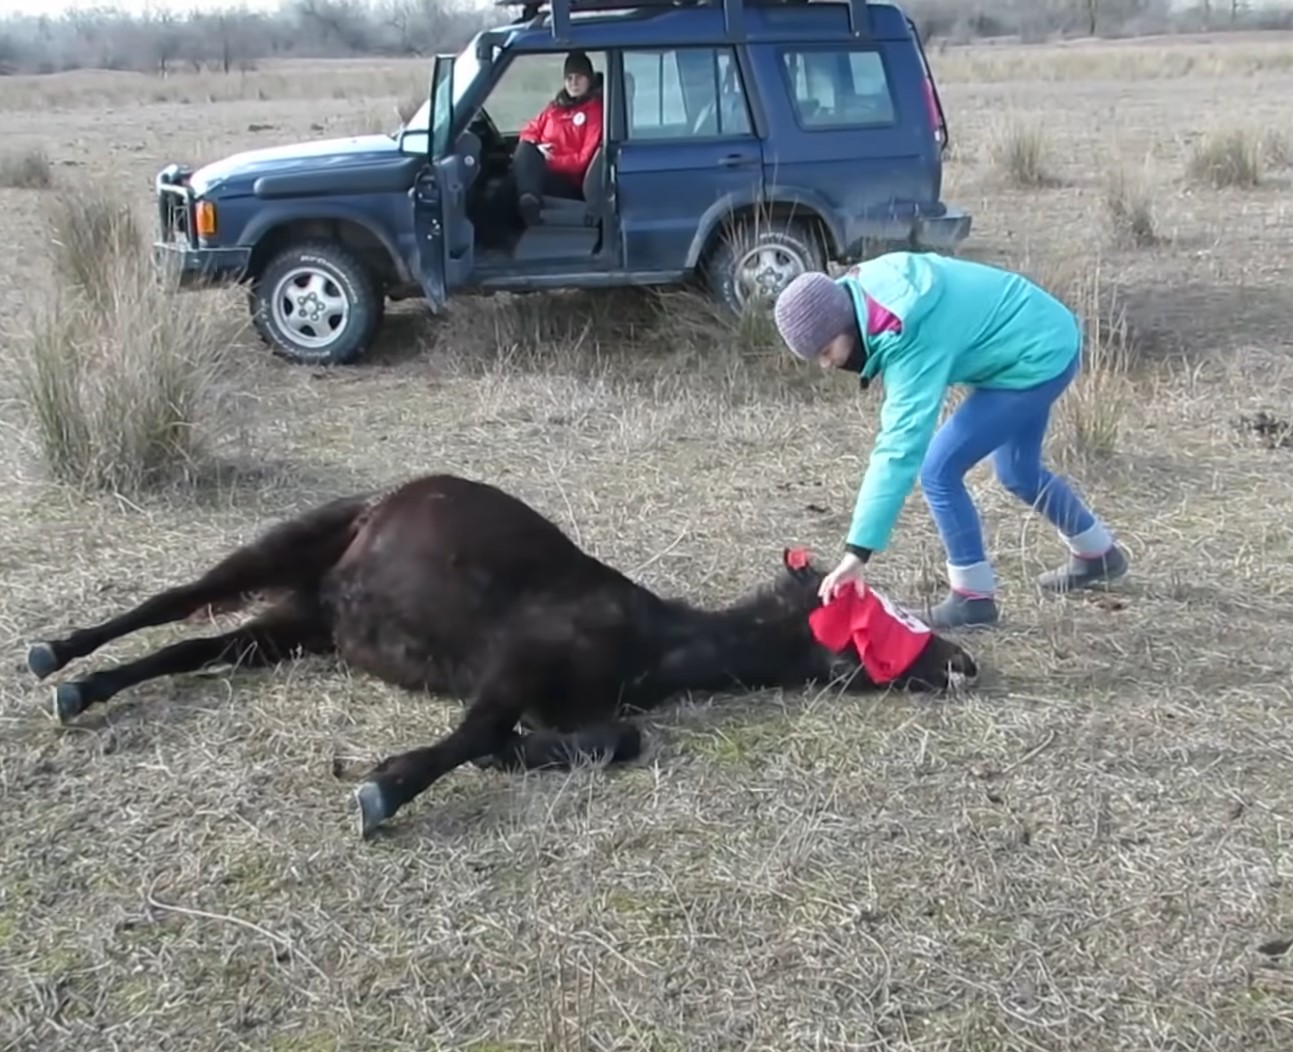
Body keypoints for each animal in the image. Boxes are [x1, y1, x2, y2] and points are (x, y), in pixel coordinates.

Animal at [25, 473, 977, 837]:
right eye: (870, 615)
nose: (964, 664)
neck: (650, 640)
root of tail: (379, 503)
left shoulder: (581, 705)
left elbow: (611, 740)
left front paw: (525, 755)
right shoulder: (514, 662)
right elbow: (476, 733)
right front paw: (383, 788)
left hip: (301, 623)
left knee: (197, 646)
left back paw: (86, 690)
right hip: (282, 553)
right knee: (172, 602)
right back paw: (53, 657)